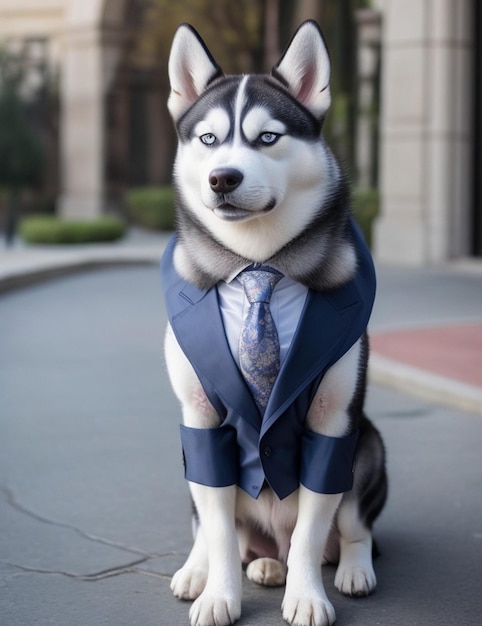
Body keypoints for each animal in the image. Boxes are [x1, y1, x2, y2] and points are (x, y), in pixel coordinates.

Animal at [163, 19, 388, 624]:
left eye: (267, 138)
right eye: (209, 140)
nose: (222, 178)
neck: (258, 261)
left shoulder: (332, 426)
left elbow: (311, 530)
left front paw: (308, 596)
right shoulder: (202, 421)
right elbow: (218, 529)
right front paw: (219, 593)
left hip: (367, 448)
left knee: (349, 527)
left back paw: (351, 568)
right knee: (214, 526)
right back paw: (220, 567)